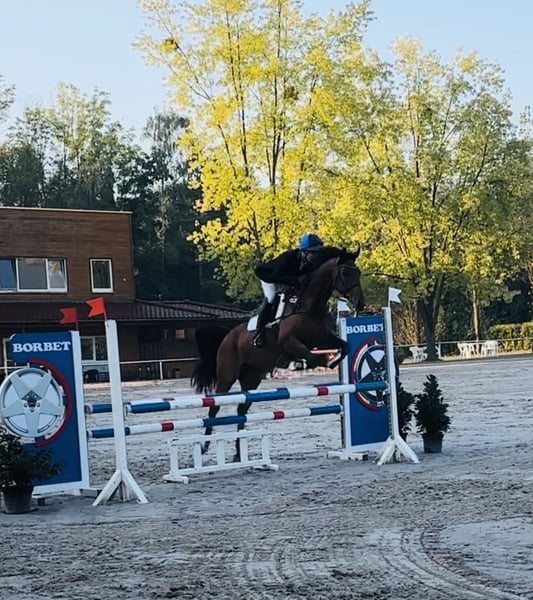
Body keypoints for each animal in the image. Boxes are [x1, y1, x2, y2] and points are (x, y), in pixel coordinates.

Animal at [191, 247, 365, 459]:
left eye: (358, 272)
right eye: (345, 273)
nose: (360, 303)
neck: (308, 305)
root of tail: (227, 336)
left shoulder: (321, 338)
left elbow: (344, 347)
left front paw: (332, 361)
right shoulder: (288, 341)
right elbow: (311, 357)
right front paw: (305, 363)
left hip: (252, 377)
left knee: (241, 409)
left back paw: (239, 453)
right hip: (227, 374)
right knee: (215, 406)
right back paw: (204, 446)